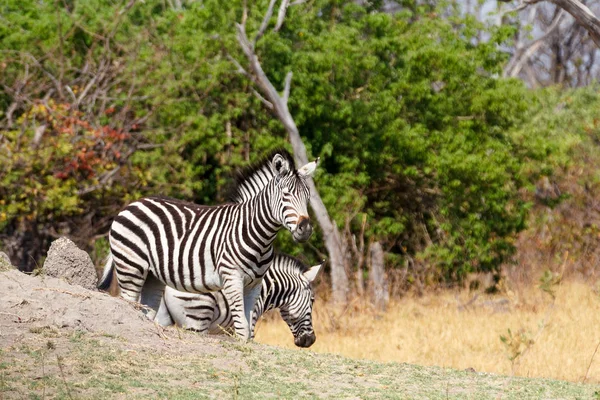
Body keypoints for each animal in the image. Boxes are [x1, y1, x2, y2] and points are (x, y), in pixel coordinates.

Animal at [99, 148, 318, 340]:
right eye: (285, 195)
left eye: (308, 197)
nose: (305, 229)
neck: (257, 234)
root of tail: (132, 204)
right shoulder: (233, 281)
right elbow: (244, 329)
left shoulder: (253, 286)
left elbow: (247, 331)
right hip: (137, 272)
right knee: (129, 303)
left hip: (154, 279)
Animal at [155, 255, 324, 348]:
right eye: (313, 300)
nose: (311, 340)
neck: (264, 288)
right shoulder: (251, 318)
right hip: (198, 317)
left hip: (164, 316)